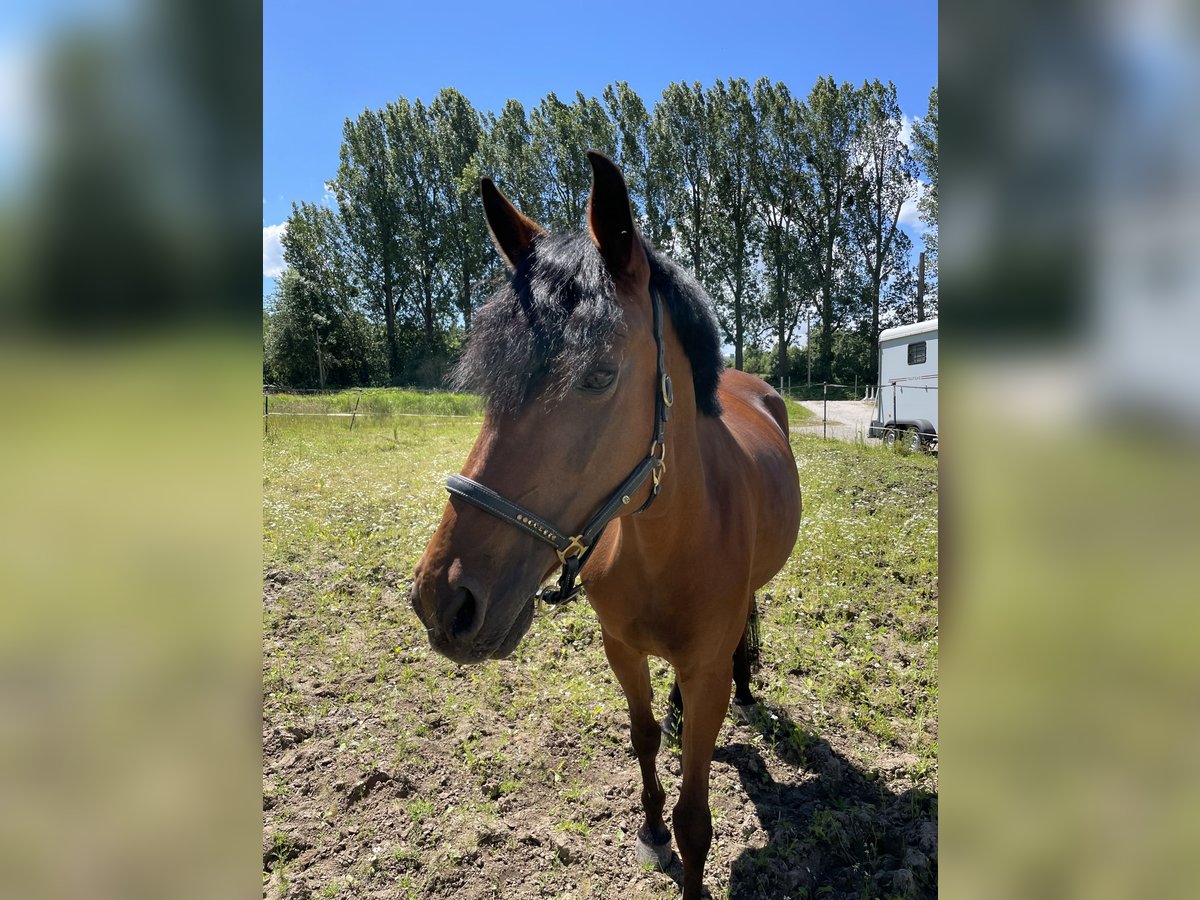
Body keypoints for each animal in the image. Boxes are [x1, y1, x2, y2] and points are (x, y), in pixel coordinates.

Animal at [415, 154, 806, 900]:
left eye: (598, 375)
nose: (443, 602)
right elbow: (645, 739)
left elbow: (696, 818)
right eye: (490, 384)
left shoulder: (706, 669)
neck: (666, 544)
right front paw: (650, 829)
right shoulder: (620, 649)